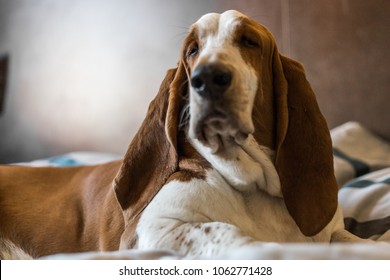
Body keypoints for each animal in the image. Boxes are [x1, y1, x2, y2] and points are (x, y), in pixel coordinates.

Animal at [0, 10, 368, 260]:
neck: (254, 186)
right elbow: (239, 237)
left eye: (249, 41)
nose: (207, 78)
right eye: (192, 50)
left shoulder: (334, 232)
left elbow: (361, 243)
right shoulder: (153, 230)